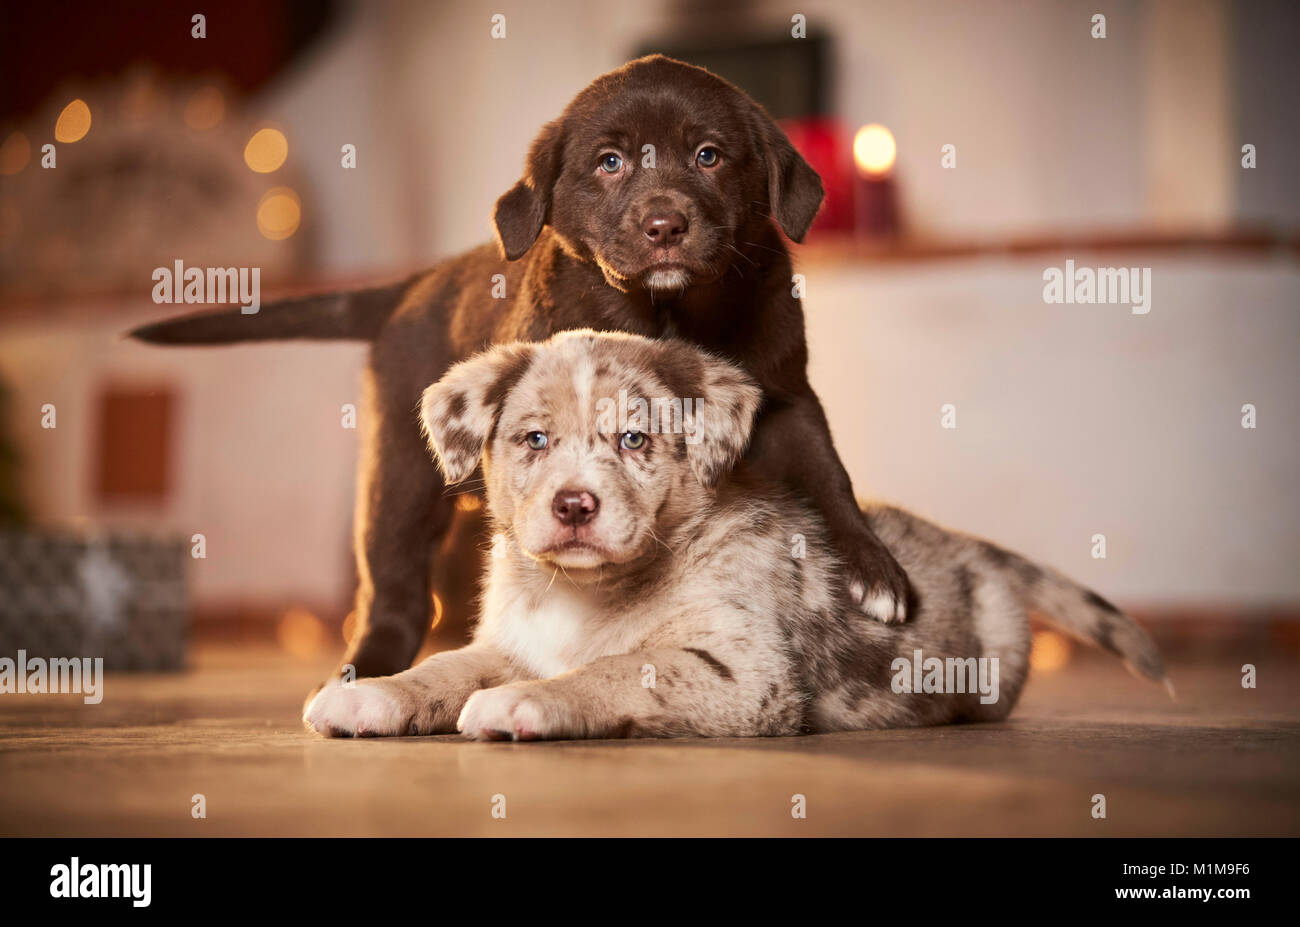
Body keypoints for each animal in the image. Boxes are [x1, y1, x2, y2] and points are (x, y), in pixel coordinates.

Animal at [129, 52, 904, 686]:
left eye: (709, 156)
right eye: (611, 162)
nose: (664, 226)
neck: (668, 309)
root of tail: (414, 284)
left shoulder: (788, 397)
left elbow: (831, 479)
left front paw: (875, 571)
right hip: (399, 474)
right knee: (394, 587)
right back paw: (366, 667)